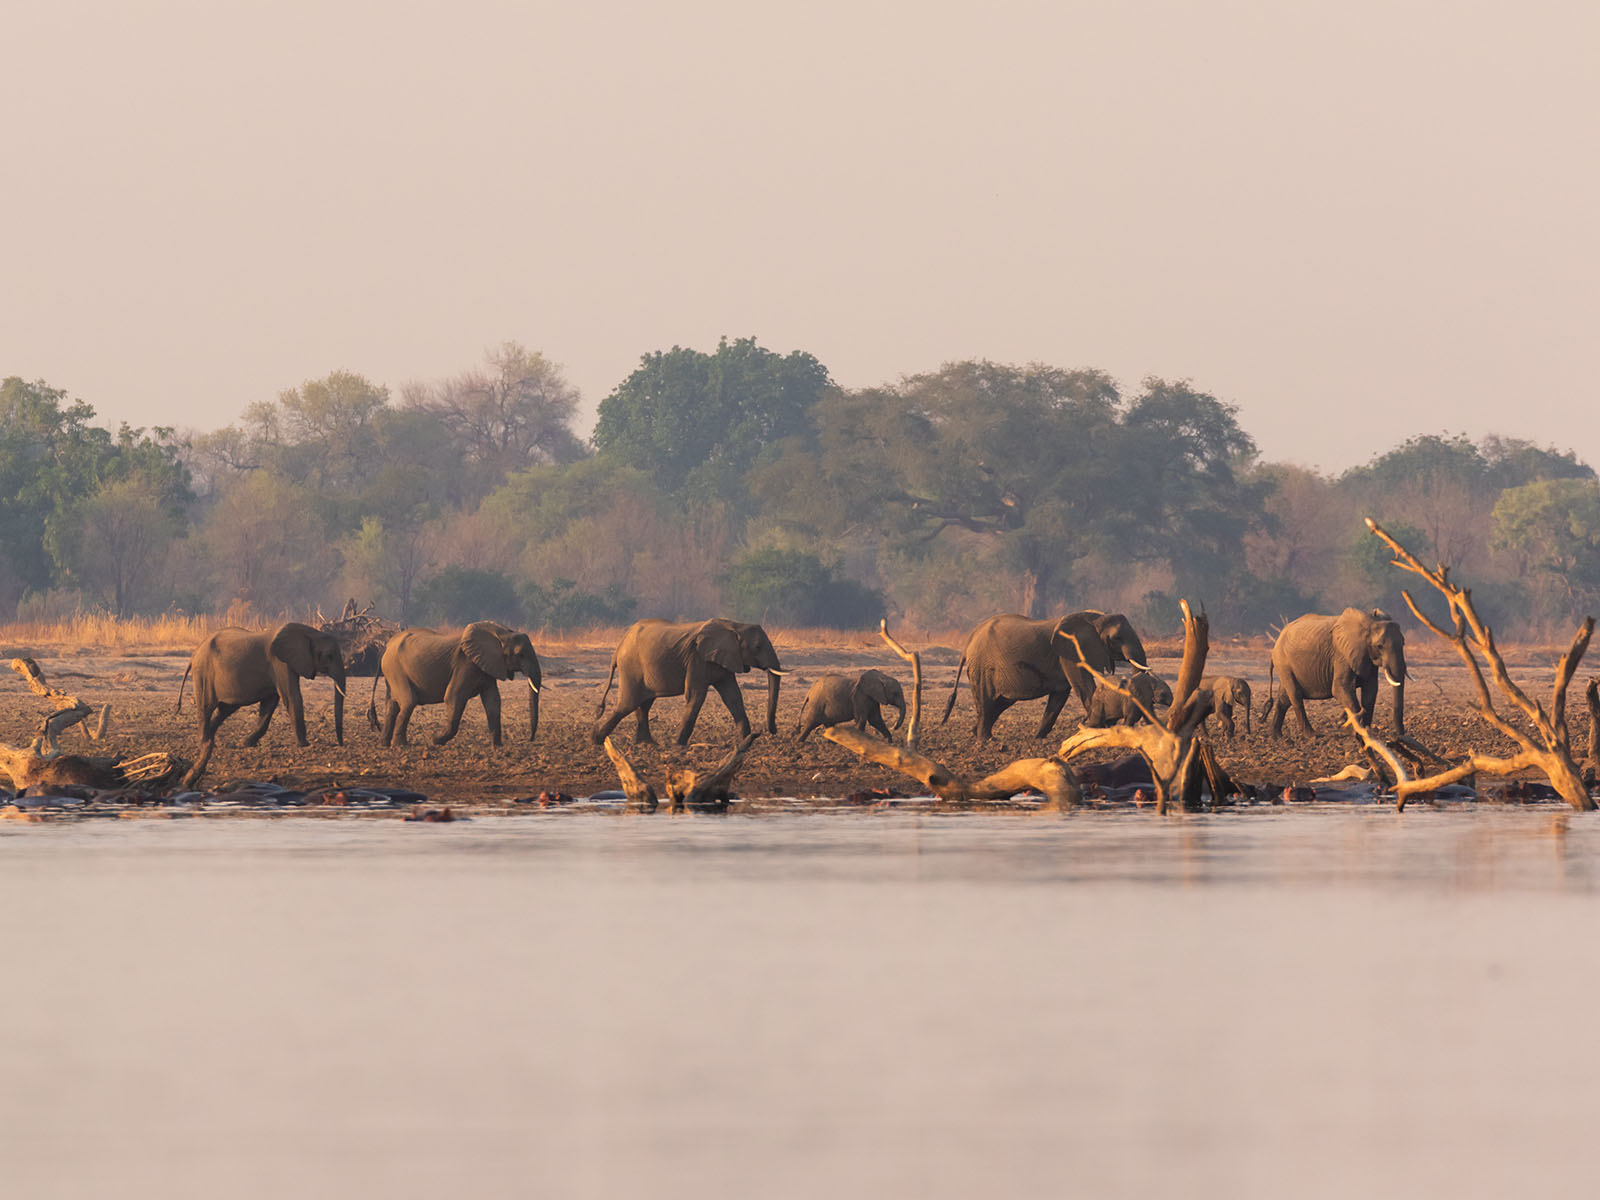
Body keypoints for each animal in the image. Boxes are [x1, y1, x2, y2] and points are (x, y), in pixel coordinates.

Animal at [178, 622, 346, 749]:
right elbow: (292, 697)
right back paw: (204, 742)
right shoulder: (279, 663)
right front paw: (304, 745)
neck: (310, 632)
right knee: (206, 707)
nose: (340, 744)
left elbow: (270, 703)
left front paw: (245, 744)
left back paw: (213, 741)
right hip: (203, 673)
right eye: (329, 656)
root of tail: (194, 653)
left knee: (225, 709)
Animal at [371, 622, 541, 747]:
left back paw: (384, 744)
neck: (501, 633)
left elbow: (493, 701)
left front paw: (498, 747)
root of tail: (386, 646)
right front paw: (434, 741)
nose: (530, 739)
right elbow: (454, 697)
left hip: (392, 672)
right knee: (408, 703)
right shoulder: (466, 664)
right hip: (395, 669)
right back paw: (401, 746)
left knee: (392, 705)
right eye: (521, 655)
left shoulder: (486, 666)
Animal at [592, 618, 784, 747]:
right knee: (627, 704)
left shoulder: (724, 661)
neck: (736, 625)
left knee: (643, 704)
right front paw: (678, 745)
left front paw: (745, 740)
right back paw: (596, 740)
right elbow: (695, 695)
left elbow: (733, 696)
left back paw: (647, 744)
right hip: (631, 668)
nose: (771, 731)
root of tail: (619, 645)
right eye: (757, 647)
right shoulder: (697, 659)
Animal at [941, 611, 1150, 742]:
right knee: (986, 700)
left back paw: (976, 733)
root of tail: (969, 640)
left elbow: (1060, 696)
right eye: (1117, 638)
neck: (1095, 618)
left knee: (1001, 702)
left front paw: (1038, 738)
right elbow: (1082, 686)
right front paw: (1100, 729)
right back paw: (986, 740)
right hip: (982, 667)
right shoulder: (1070, 652)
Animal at [1266, 607, 1406, 738]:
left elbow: (1370, 690)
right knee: (1295, 695)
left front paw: (1366, 732)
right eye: (1379, 646)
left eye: (1403, 643)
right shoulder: (1342, 655)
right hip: (1283, 663)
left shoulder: (1366, 657)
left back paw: (1276, 736)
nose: (1400, 734)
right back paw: (1312, 736)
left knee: (1284, 699)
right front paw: (1353, 731)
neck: (1368, 621)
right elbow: (1340, 688)